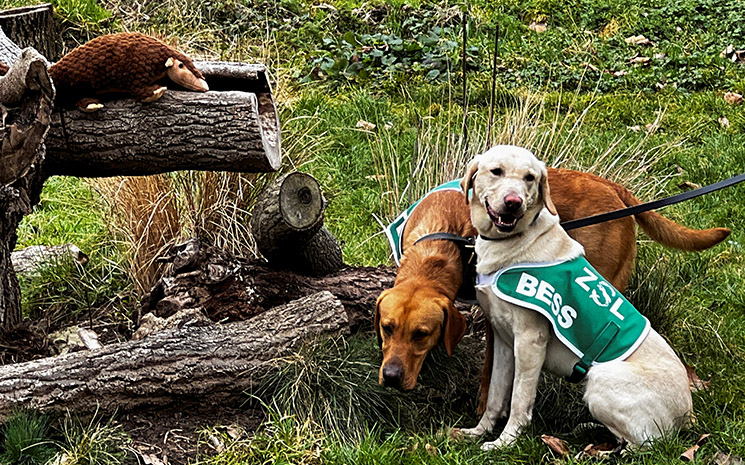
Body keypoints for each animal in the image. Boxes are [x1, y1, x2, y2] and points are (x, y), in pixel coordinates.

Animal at [374, 167, 728, 392]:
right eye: (387, 328)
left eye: (422, 334)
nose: (391, 377)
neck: (438, 233)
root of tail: (614, 187)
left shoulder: (494, 322)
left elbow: (488, 380)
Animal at [460, 146, 692, 450]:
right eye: (496, 171)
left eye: (530, 178)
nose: (513, 203)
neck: (512, 242)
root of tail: (686, 413)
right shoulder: (503, 340)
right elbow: (495, 397)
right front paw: (478, 432)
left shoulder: (530, 341)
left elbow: (519, 400)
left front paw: (505, 443)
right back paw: (588, 429)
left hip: (601, 377)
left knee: (644, 445)